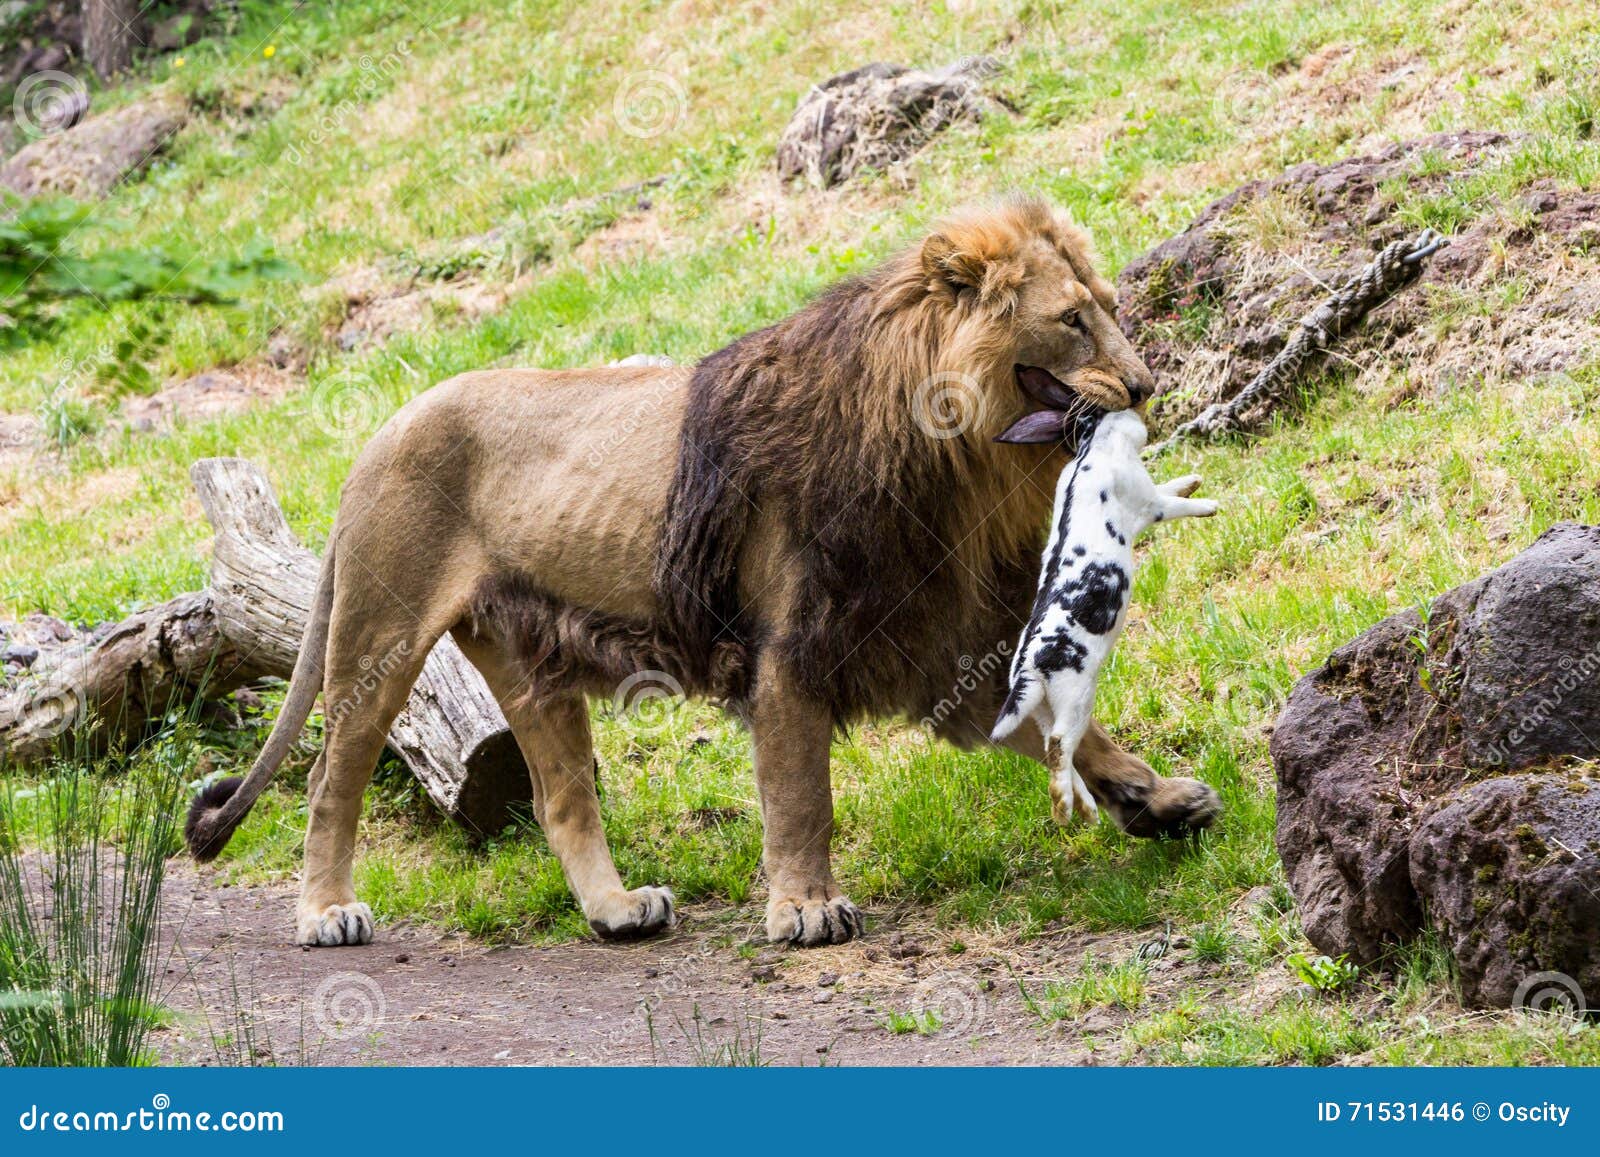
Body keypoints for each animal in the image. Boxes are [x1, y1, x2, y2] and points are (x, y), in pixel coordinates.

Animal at [190, 194, 1222, 947]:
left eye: (1113, 312)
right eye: (1073, 321)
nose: (1146, 387)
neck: (961, 467)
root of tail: (377, 434)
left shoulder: (940, 645)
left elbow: (1075, 735)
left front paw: (1161, 800)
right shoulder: (791, 646)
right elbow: (801, 792)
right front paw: (805, 906)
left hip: (529, 659)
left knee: (562, 800)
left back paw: (616, 911)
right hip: (380, 633)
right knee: (332, 780)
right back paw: (327, 912)